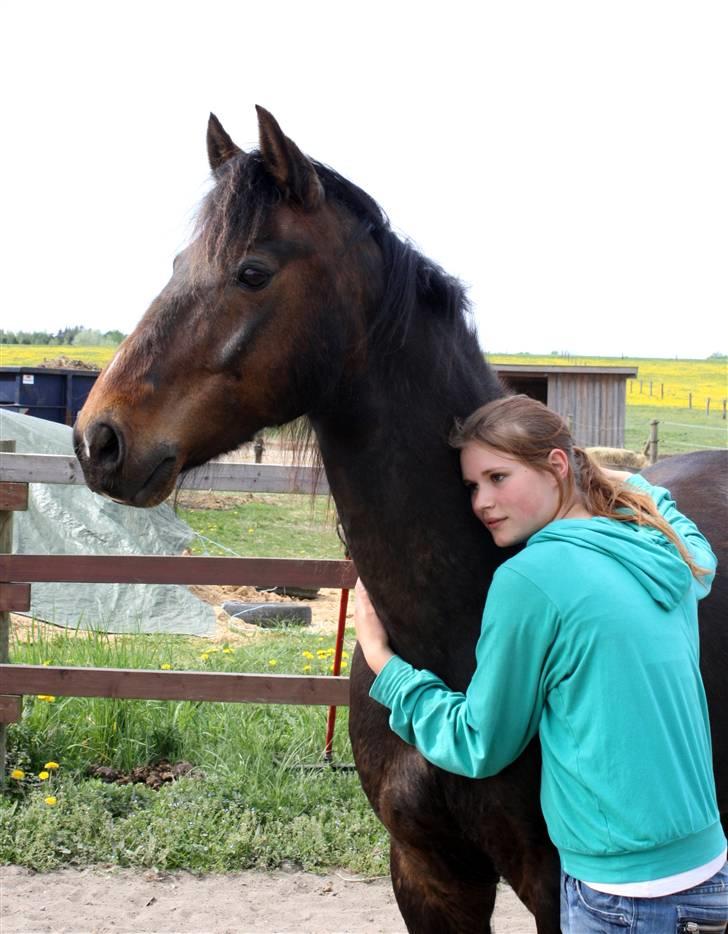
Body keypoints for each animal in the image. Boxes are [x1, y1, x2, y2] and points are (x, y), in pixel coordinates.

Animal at [71, 108, 724, 928]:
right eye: (177, 263)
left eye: (252, 271)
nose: (97, 439)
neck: (454, 627)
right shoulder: (425, 874)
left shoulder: (557, 888)